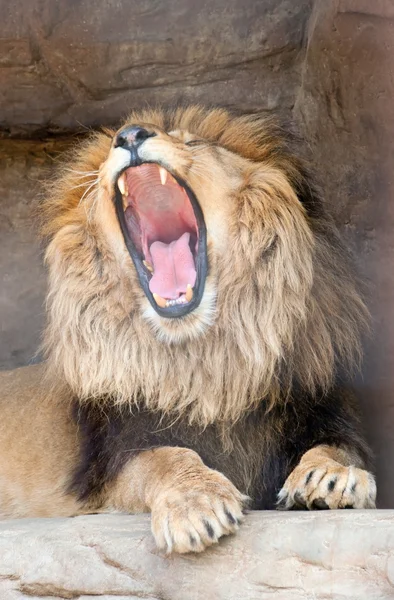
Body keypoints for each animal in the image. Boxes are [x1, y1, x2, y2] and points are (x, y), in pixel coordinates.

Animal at [0, 104, 376, 552]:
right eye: (112, 146)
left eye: (192, 142)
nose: (129, 135)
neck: (203, 360)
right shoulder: (114, 464)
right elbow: (165, 458)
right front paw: (196, 503)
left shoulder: (325, 410)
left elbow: (339, 448)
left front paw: (331, 477)